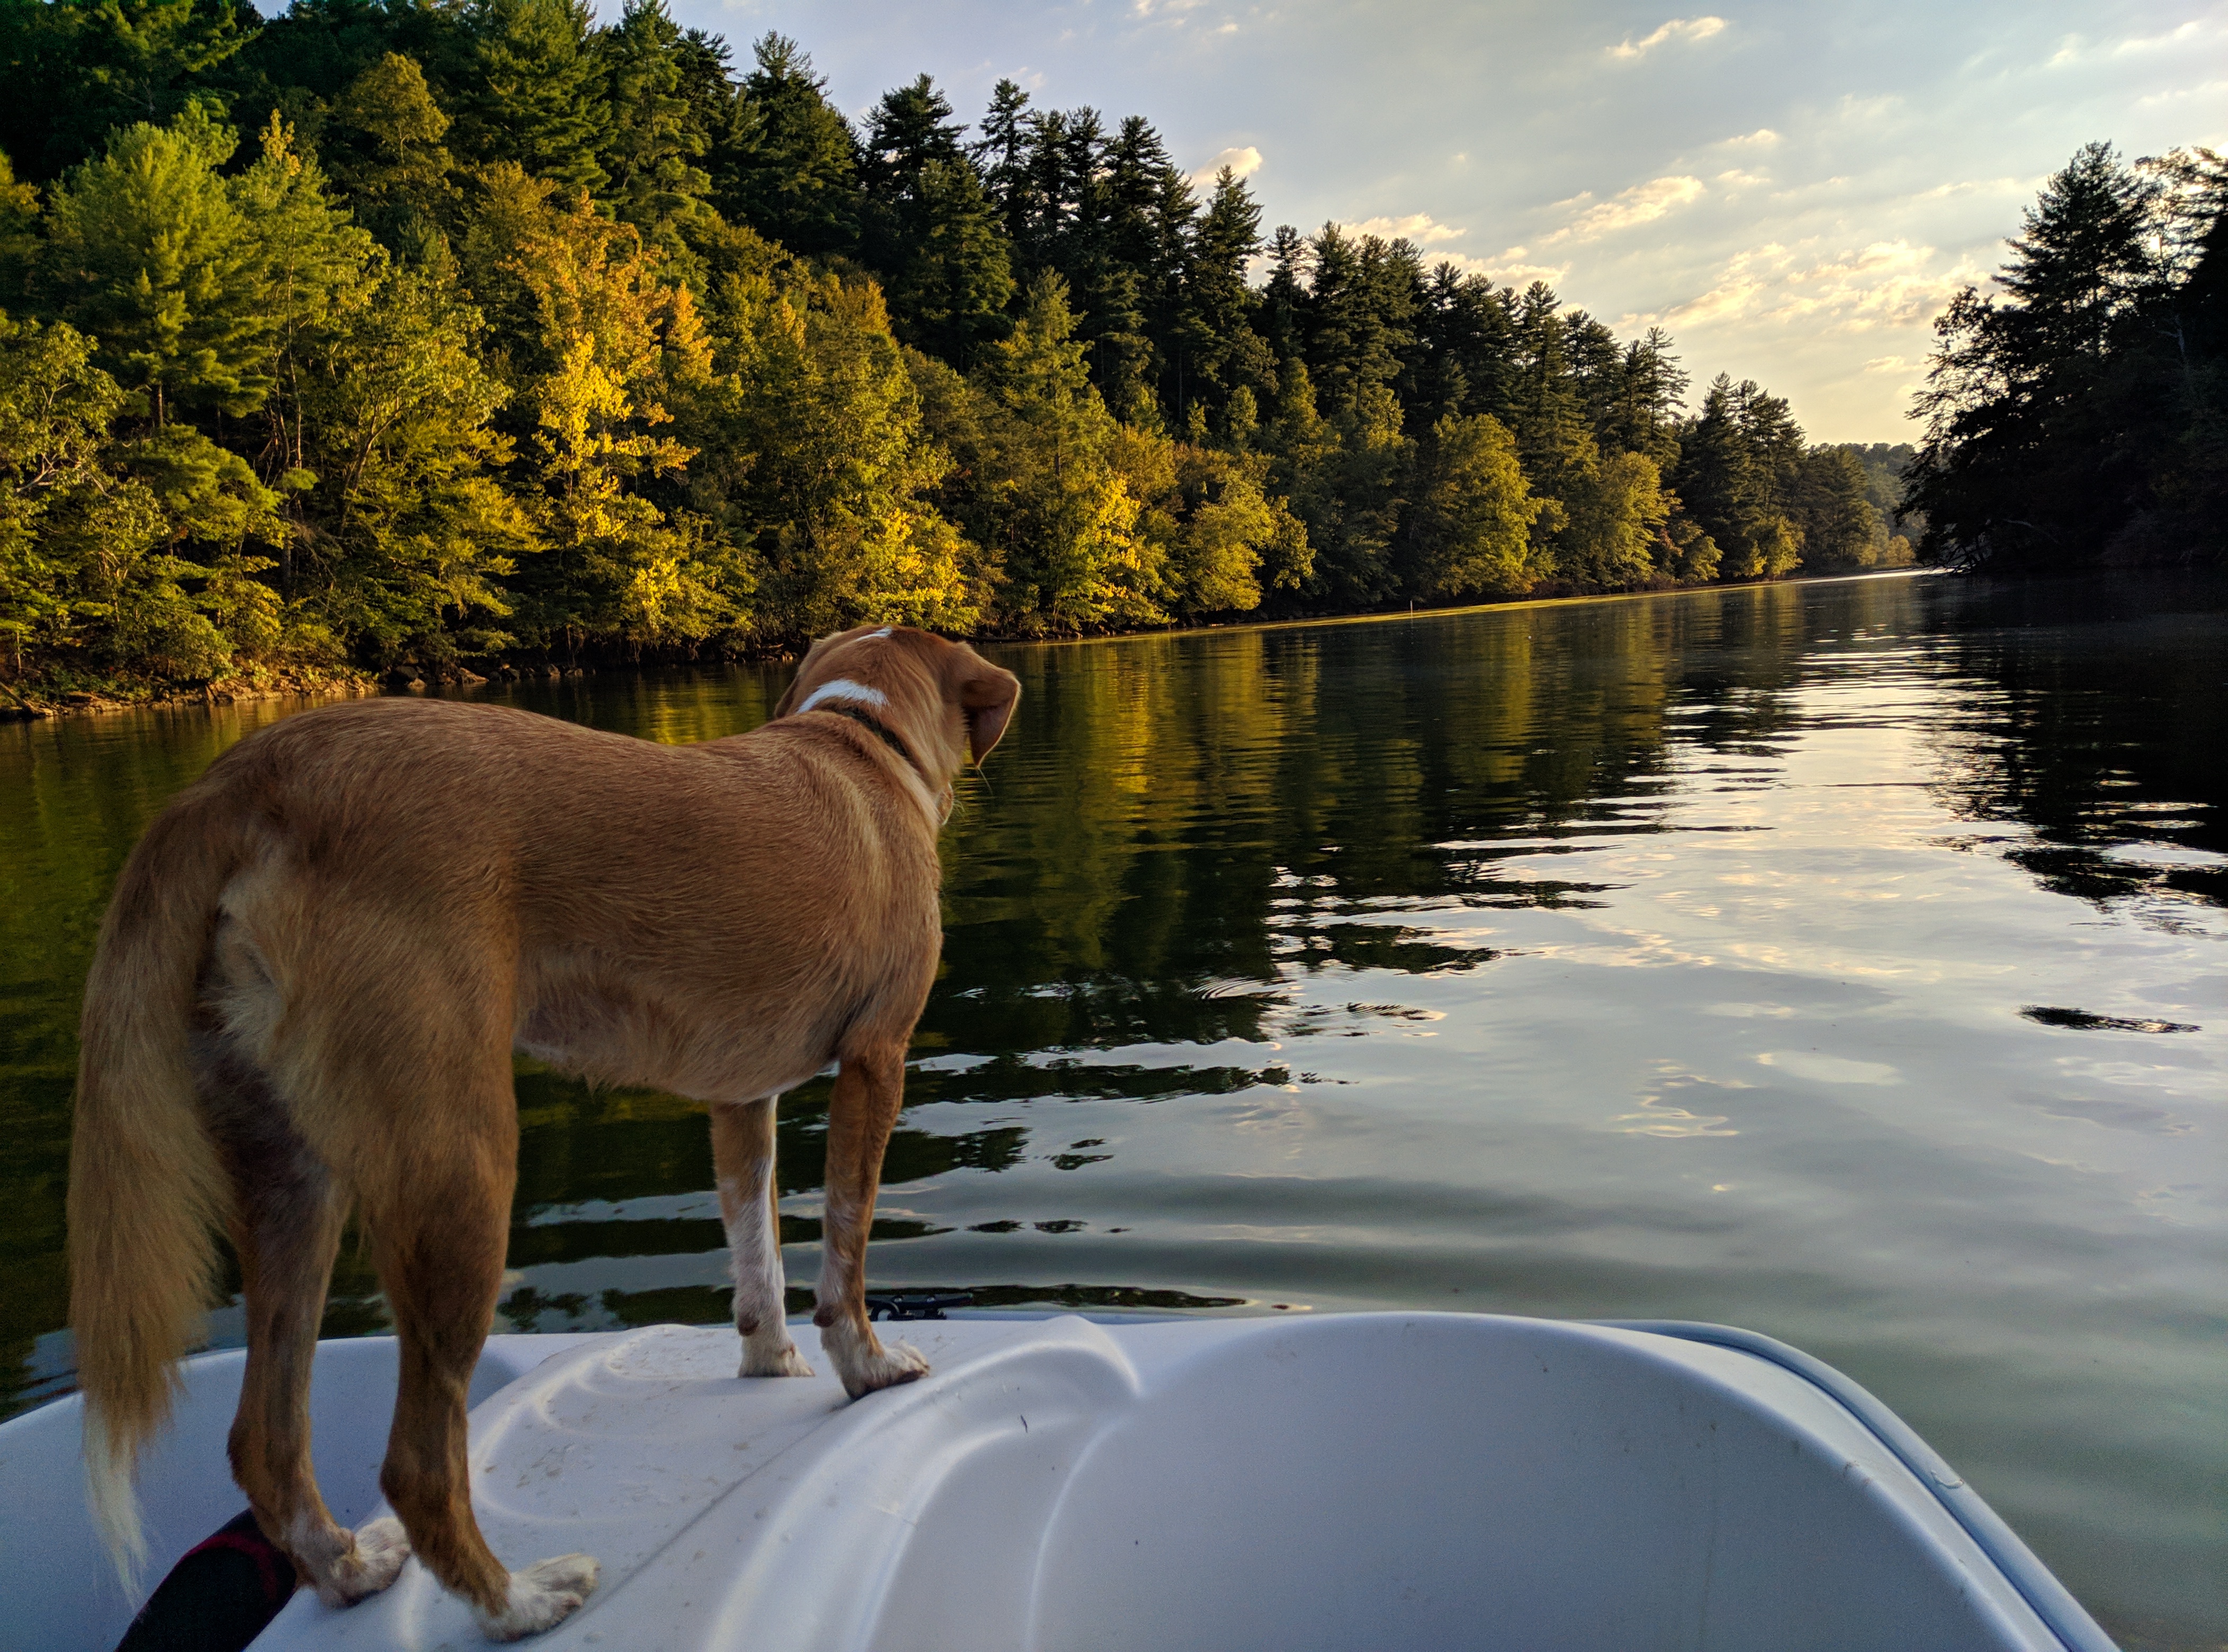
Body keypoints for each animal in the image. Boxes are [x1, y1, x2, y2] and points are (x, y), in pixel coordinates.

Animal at [61, 620, 1020, 1640]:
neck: (858, 738)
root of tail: (243, 777)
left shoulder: (738, 1095)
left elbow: (755, 1251)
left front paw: (769, 1359)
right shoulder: (878, 1057)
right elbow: (846, 1243)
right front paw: (868, 1366)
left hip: (291, 1178)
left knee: (266, 1442)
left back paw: (350, 1571)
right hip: (461, 1171)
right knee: (417, 1463)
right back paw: (516, 1601)